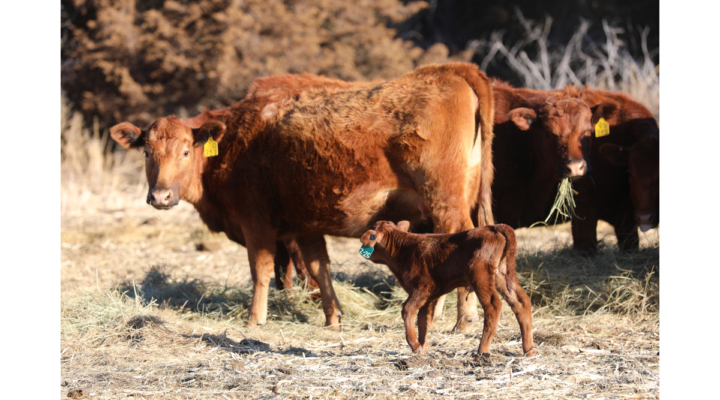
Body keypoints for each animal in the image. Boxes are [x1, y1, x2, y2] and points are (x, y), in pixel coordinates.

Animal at [360, 222, 536, 356]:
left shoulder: (422, 288)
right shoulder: (428, 296)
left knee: (493, 305)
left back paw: (482, 350)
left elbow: (408, 310)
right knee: (521, 302)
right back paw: (529, 350)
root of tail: (494, 227)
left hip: (480, 275)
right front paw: (422, 348)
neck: (404, 249)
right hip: (502, 274)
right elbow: (423, 320)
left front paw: (414, 345)